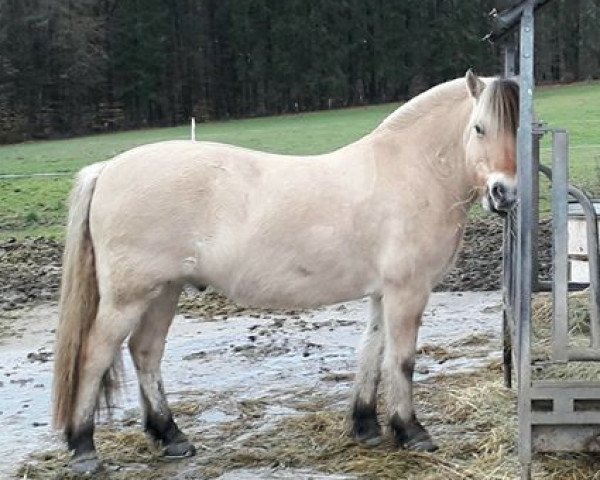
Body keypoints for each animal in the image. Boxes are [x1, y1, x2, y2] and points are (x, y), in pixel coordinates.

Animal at [52, 69, 520, 474]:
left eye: (520, 128)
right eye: (480, 128)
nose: (505, 194)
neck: (408, 173)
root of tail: (106, 170)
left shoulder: (382, 293)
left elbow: (371, 353)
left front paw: (366, 427)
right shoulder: (408, 291)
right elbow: (401, 361)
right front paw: (411, 431)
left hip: (165, 291)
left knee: (146, 352)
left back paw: (171, 436)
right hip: (129, 296)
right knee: (94, 355)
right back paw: (84, 448)